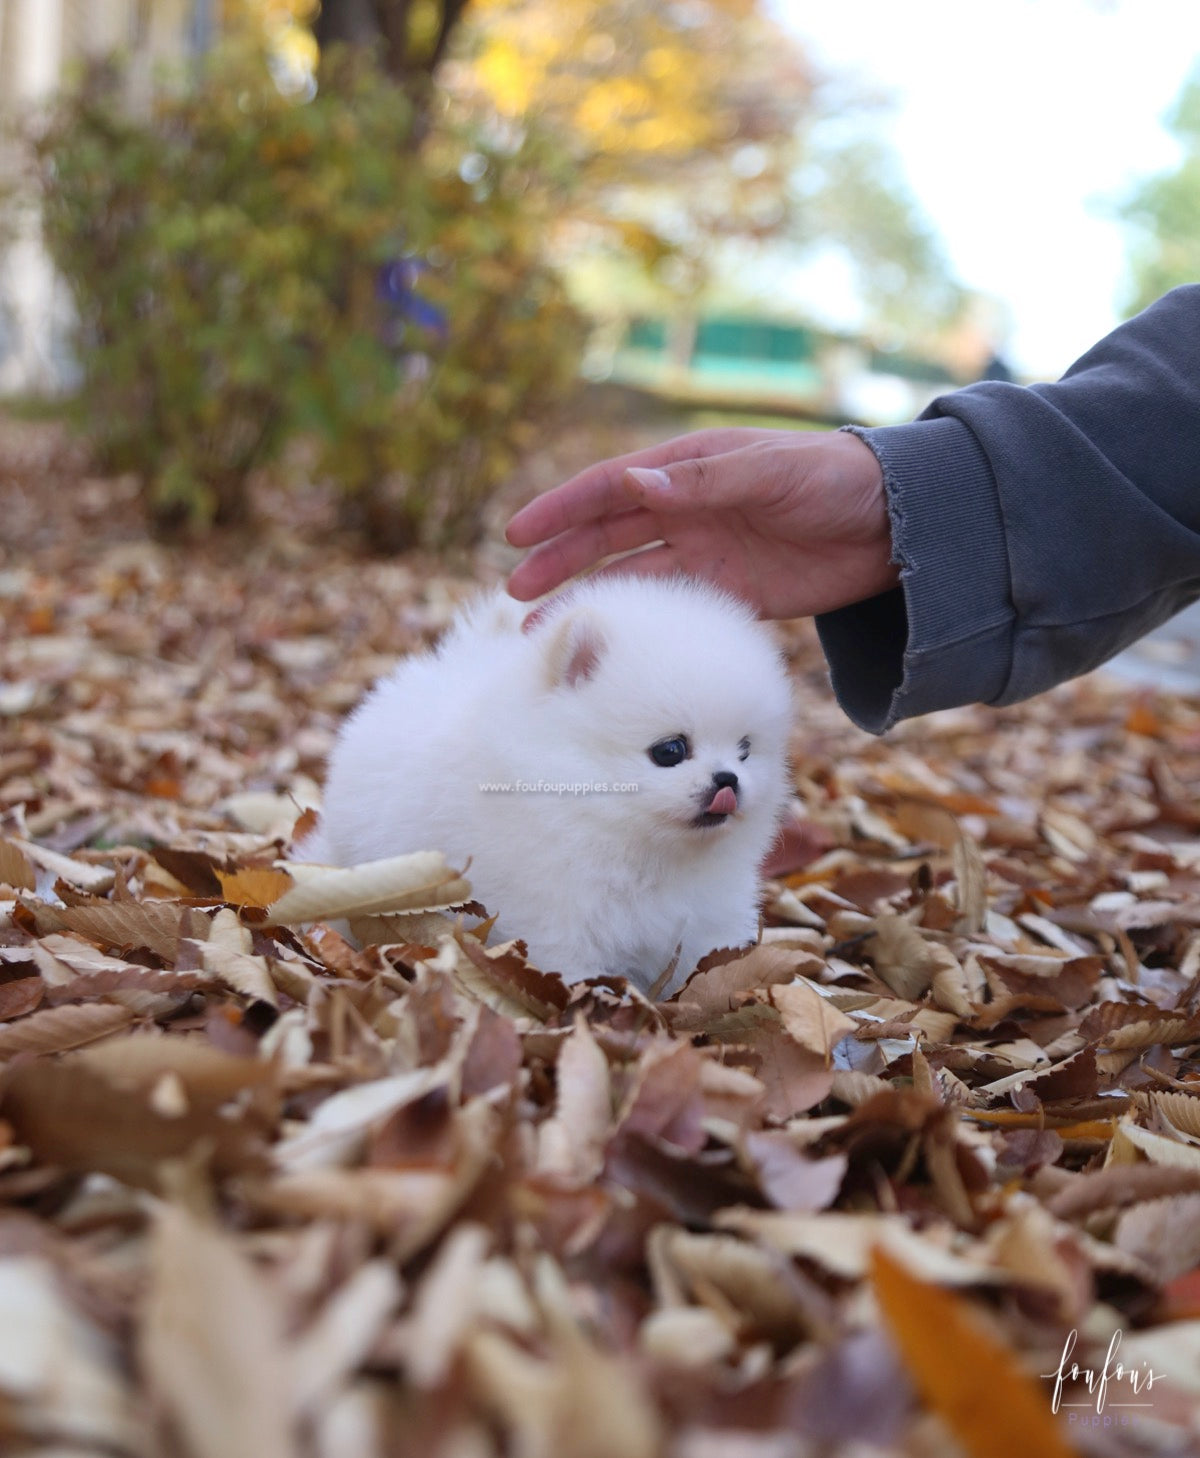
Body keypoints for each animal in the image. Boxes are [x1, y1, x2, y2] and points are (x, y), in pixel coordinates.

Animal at [314, 574, 793, 997]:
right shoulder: (554, 911)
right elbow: (569, 963)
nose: (728, 779)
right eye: (670, 750)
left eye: (745, 750)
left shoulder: (701, 917)